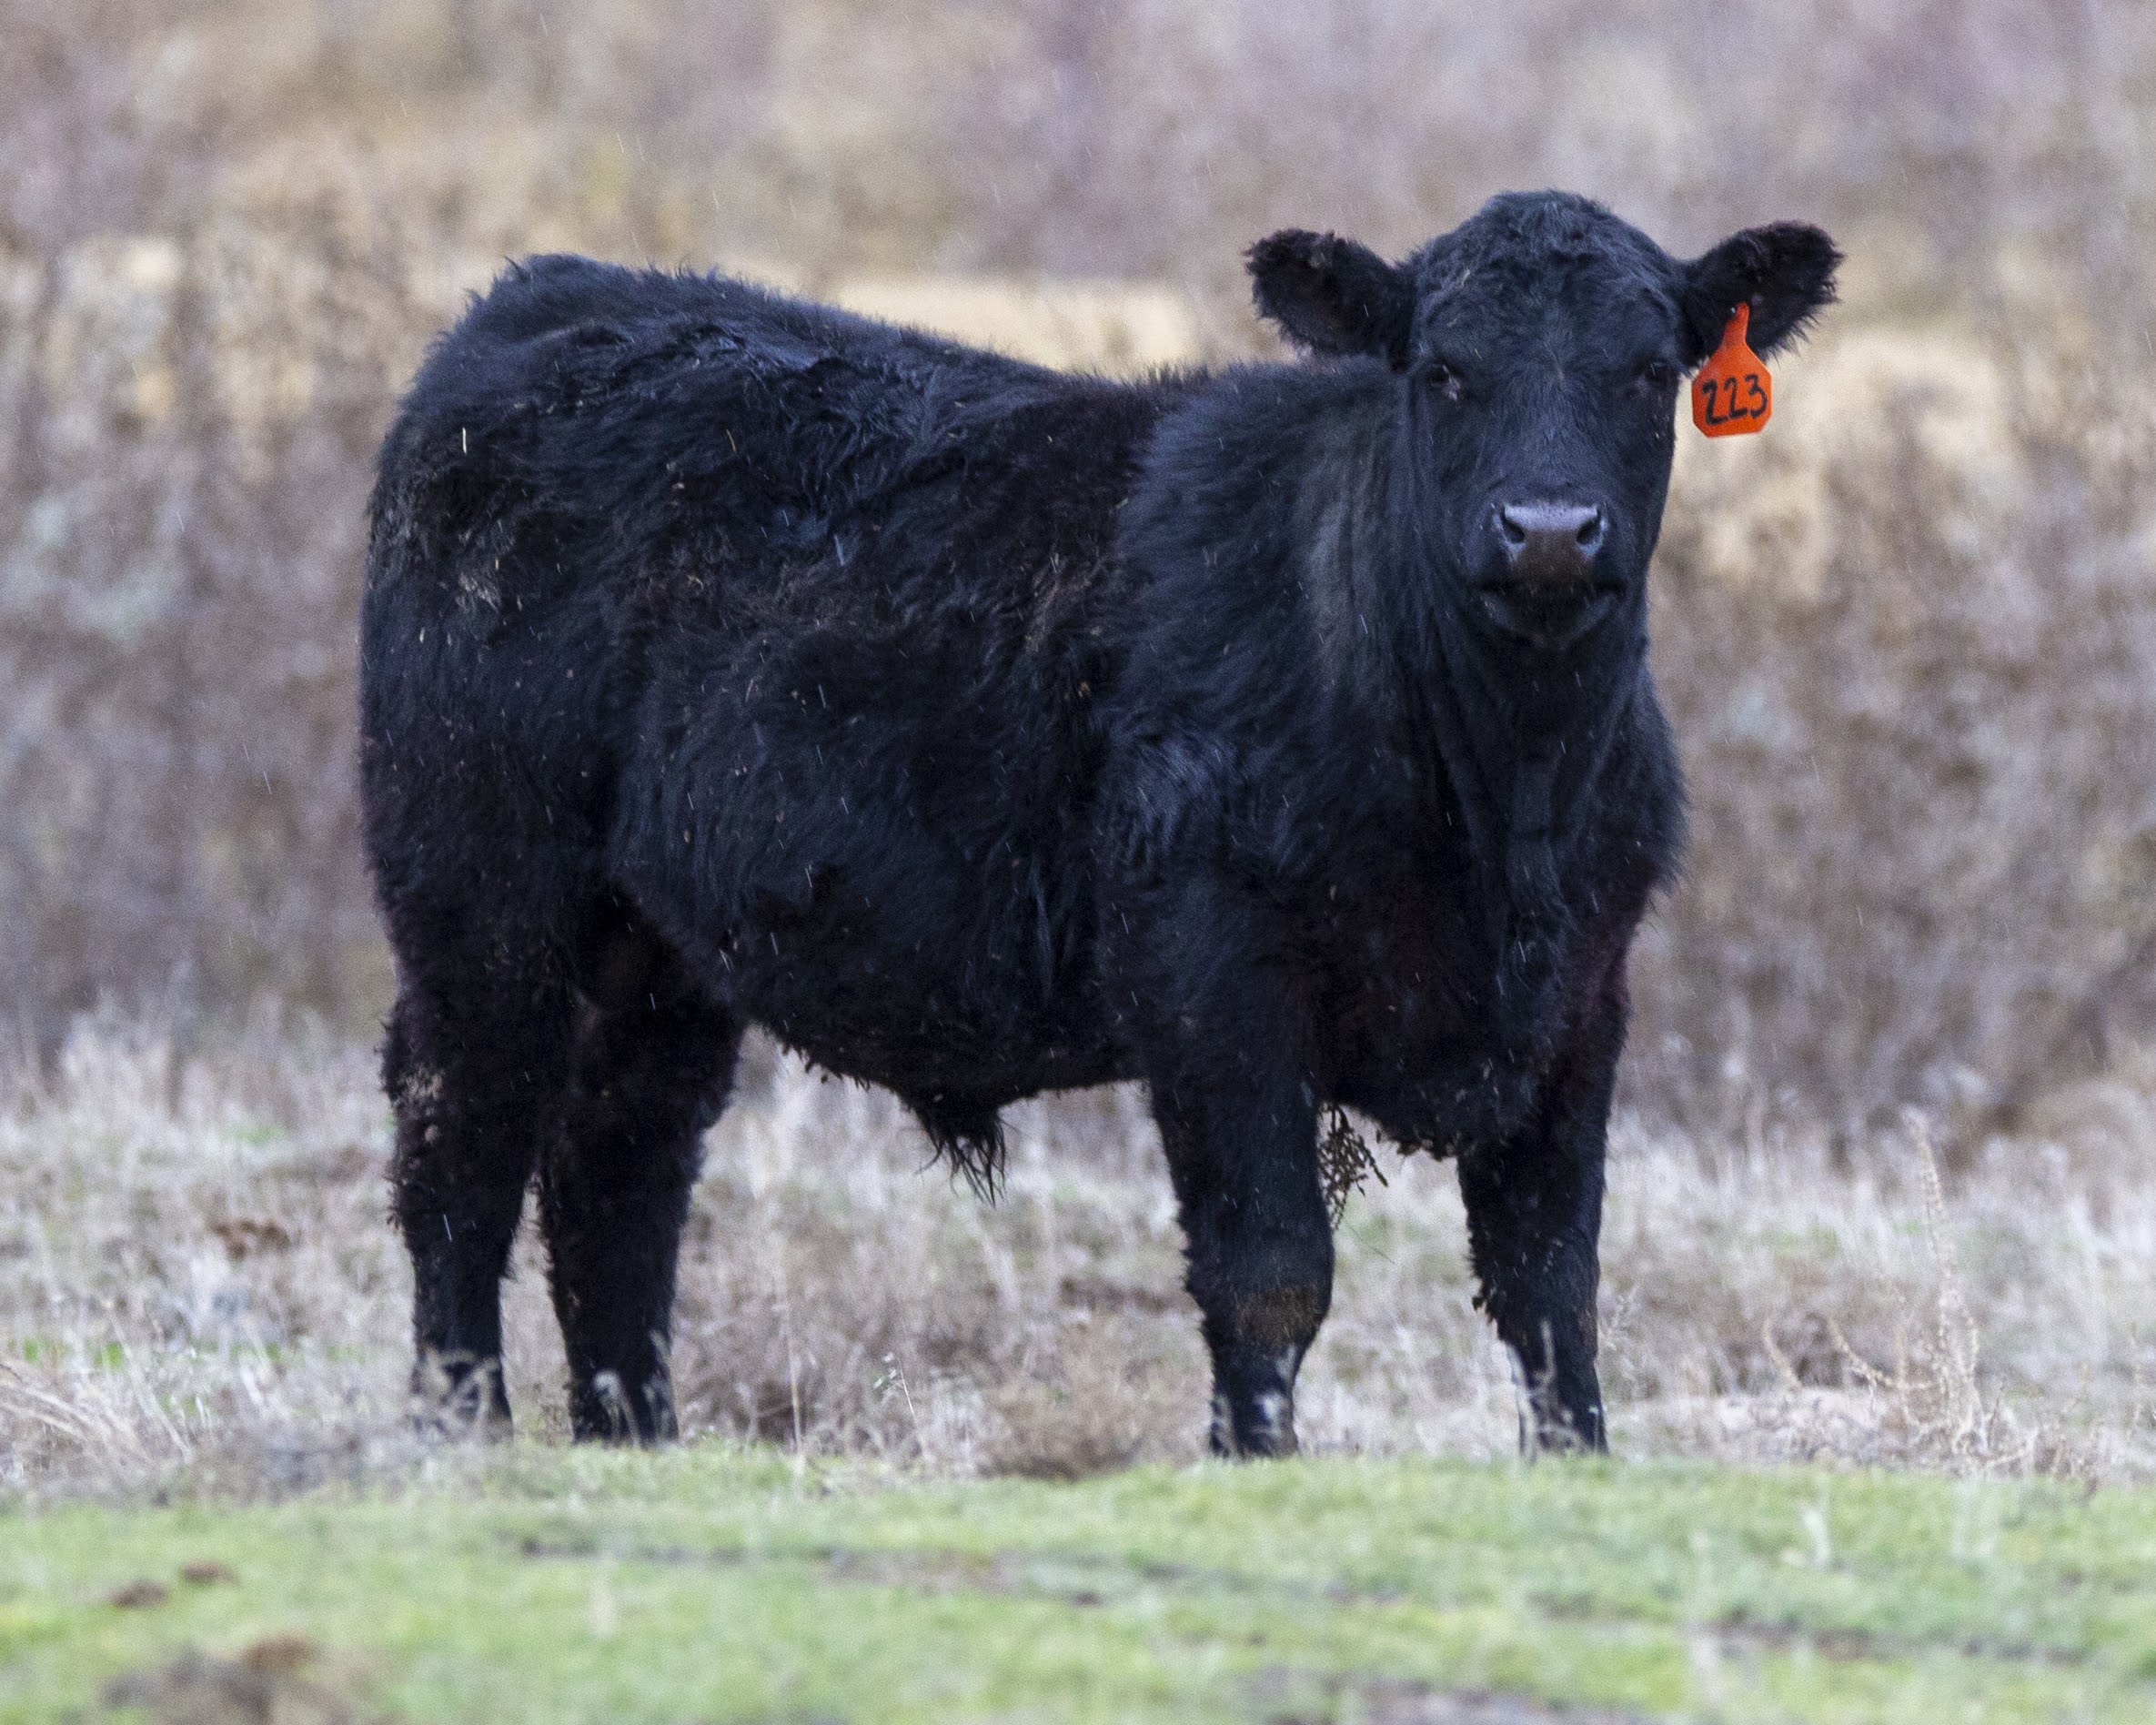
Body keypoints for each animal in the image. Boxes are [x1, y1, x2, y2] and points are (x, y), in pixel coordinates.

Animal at [360, 190, 1837, 1457]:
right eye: (1443, 369)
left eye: (1647, 371)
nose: (1547, 530)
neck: (1506, 802)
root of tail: (550, 292)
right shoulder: (1210, 963)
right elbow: (1270, 1268)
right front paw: (1255, 1464)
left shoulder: (1581, 992)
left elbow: (1550, 1280)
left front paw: (1575, 1461)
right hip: (480, 891)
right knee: (459, 1137)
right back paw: (461, 1423)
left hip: (657, 949)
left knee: (620, 1164)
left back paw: (635, 1434)